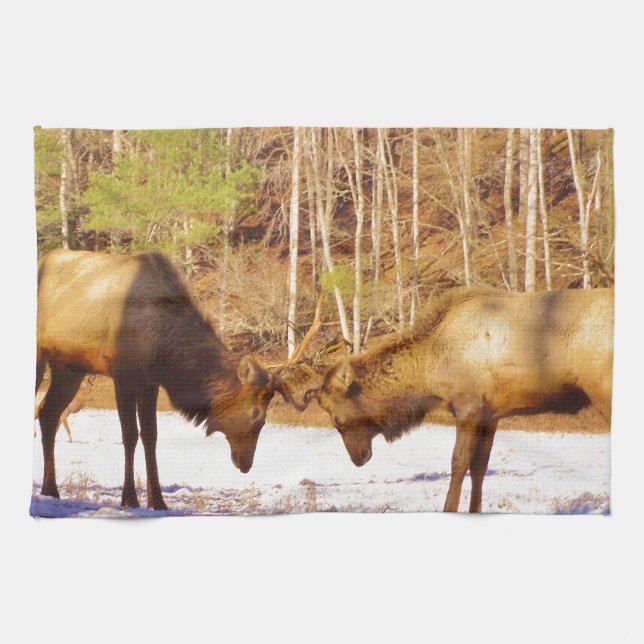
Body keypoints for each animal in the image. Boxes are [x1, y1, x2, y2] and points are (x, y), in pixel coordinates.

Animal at [36, 249, 315, 511]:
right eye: (258, 417)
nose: (245, 464)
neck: (164, 347)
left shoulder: (150, 381)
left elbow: (151, 436)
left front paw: (158, 501)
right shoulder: (123, 376)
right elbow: (130, 435)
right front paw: (130, 499)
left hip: (69, 367)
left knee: (48, 413)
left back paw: (50, 489)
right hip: (42, 356)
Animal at [303, 287, 613, 512]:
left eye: (337, 419)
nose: (358, 459)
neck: (430, 370)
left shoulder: (469, 408)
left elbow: (458, 463)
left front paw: (449, 509)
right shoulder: (491, 414)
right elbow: (480, 467)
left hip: (603, 391)